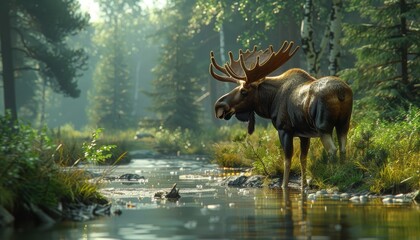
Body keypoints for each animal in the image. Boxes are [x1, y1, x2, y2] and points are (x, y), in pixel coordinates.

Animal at [209, 40, 352, 189]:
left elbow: (287, 160)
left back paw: (333, 176)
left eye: (244, 91)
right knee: (343, 148)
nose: (219, 105)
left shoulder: (284, 129)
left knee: (332, 150)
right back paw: (343, 172)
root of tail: (341, 92)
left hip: (323, 126)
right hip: (344, 123)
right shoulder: (304, 134)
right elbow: (303, 159)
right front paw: (303, 186)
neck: (270, 102)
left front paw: (284, 186)